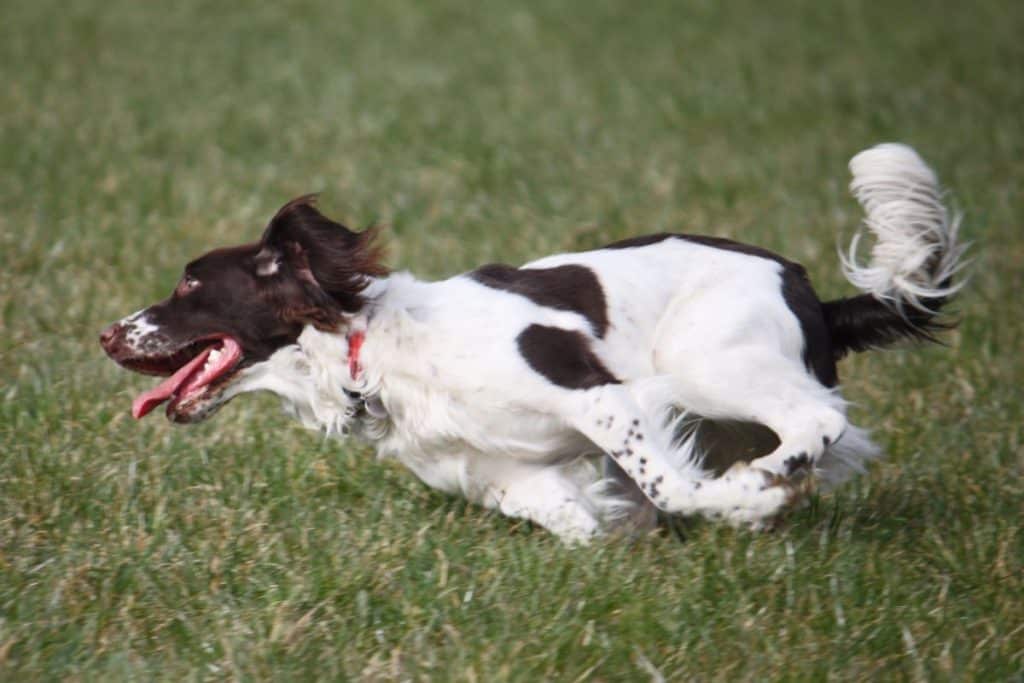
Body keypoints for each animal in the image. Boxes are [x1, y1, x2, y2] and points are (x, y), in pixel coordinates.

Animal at [99, 145, 962, 544]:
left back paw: (766, 481)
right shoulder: (512, 476)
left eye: (189, 284)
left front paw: (746, 501)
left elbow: (673, 487)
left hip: (704, 361)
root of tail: (812, 290)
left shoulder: (601, 397)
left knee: (818, 422)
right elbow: (587, 522)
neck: (376, 351)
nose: (107, 334)